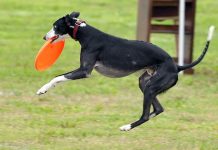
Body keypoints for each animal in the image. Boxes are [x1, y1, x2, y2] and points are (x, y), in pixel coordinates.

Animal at [36, 12, 214, 131]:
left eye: (55, 26)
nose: (44, 37)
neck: (85, 33)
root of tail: (177, 66)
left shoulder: (84, 71)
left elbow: (58, 77)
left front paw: (42, 89)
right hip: (145, 83)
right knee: (158, 109)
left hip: (151, 88)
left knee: (145, 115)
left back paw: (127, 126)